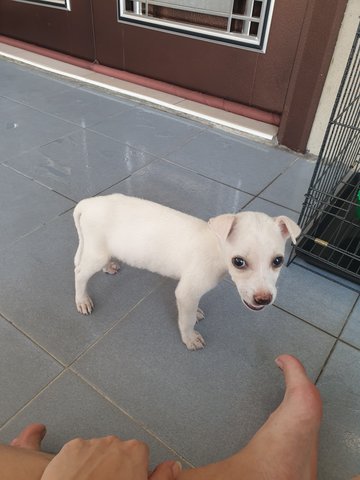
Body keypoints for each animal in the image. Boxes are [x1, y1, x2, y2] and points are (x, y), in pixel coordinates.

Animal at [72, 193, 298, 350]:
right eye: (238, 262)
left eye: (278, 261)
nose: (263, 299)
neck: (215, 245)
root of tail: (88, 203)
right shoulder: (186, 292)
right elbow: (186, 319)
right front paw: (190, 338)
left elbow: (192, 311)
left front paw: (196, 313)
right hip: (96, 254)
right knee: (80, 273)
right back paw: (82, 300)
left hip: (102, 249)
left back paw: (108, 267)